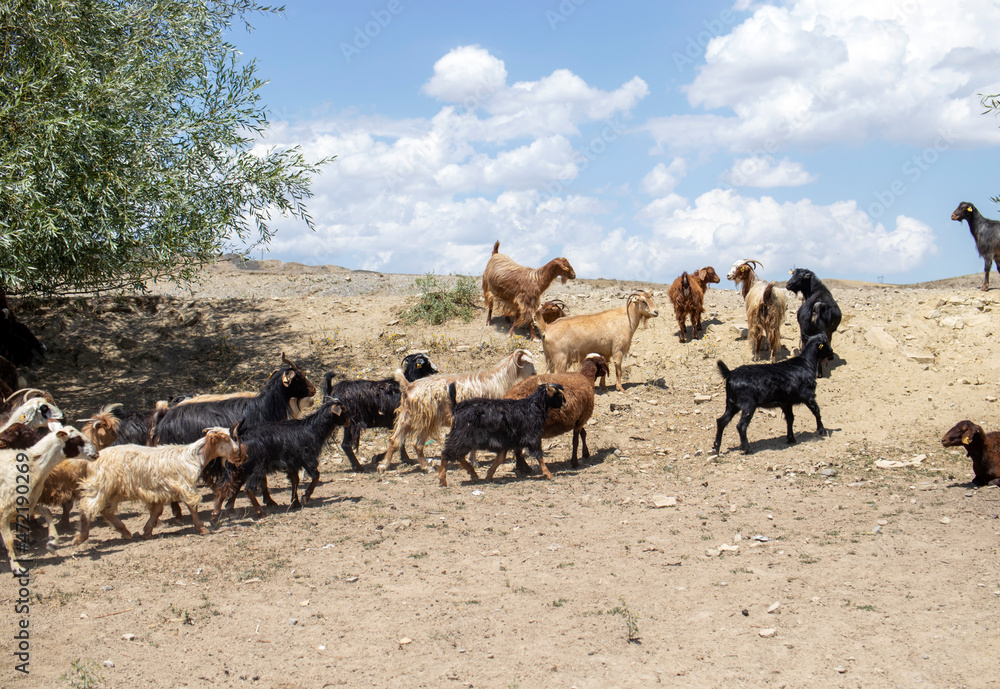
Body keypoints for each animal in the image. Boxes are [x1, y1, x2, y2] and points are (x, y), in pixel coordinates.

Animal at [74, 424, 242, 544]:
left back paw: (125, 532)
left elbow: (157, 510)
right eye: (226, 439)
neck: (193, 456)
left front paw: (147, 531)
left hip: (114, 489)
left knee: (105, 510)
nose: (237, 451)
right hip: (101, 484)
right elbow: (192, 506)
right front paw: (202, 528)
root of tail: (95, 457)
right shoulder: (185, 484)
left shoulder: (161, 490)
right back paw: (81, 537)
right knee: (87, 507)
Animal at [213, 398, 350, 516]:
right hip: (257, 466)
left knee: (225, 486)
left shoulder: (292, 464)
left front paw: (295, 502)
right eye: (344, 410)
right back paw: (259, 511)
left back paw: (219, 513)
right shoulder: (307, 459)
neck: (312, 430)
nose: (349, 421)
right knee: (248, 489)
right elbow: (316, 476)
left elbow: (295, 481)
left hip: (236, 467)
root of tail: (239, 436)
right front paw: (305, 497)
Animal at [378, 350, 540, 472]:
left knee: (394, 440)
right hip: (426, 420)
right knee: (417, 444)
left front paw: (473, 460)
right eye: (528, 362)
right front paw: (476, 461)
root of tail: (409, 386)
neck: (498, 379)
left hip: (406, 418)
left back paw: (383, 466)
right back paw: (426, 467)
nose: (535, 373)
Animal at [440, 378, 568, 486]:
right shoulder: (533, 437)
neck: (533, 407)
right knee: (446, 453)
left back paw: (473, 474)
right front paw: (548, 474)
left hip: (465, 440)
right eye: (559, 395)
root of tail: (456, 406)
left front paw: (489, 475)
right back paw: (442, 480)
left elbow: (500, 458)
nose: (566, 404)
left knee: (459, 455)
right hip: (462, 437)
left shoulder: (506, 439)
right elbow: (539, 455)